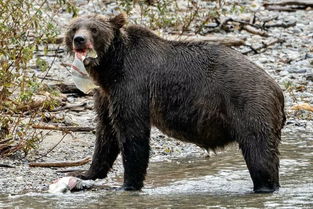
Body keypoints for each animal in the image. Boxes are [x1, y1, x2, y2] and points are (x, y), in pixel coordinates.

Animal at [65, 12, 286, 193]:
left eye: (94, 29)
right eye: (74, 28)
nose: (79, 40)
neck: (110, 67)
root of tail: (277, 88)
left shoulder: (133, 84)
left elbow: (132, 133)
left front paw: (128, 184)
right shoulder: (107, 94)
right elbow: (106, 132)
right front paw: (86, 173)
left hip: (249, 105)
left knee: (259, 151)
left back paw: (265, 186)